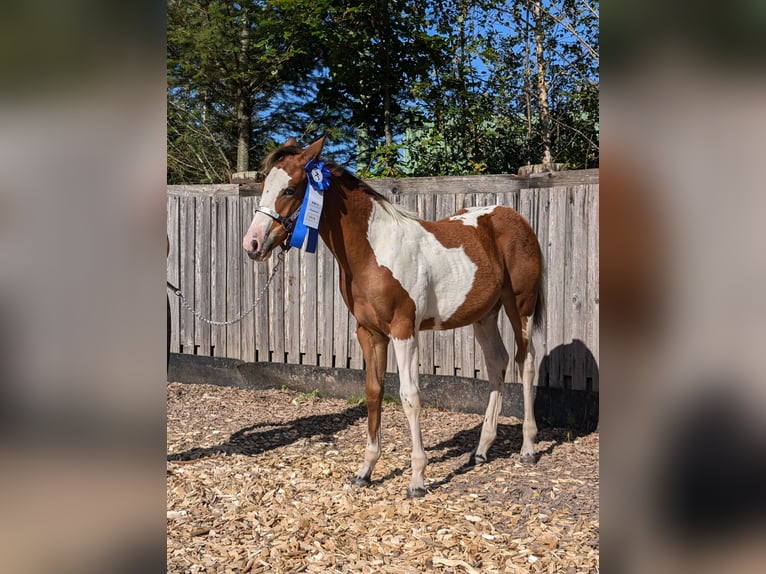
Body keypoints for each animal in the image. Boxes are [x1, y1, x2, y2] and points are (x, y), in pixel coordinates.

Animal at [244, 136, 544, 500]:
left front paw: (417, 479)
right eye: (264, 186)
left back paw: (528, 448)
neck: (375, 251)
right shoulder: (370, 333)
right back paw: (481, 450)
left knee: (526, 363)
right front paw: (365, 470)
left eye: (289, 189)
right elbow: (374, 392)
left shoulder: (403, 331)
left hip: (521, 307)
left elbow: (409, 396)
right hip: (484, 315)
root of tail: (514, 217)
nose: (252, 243)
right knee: (497, 364)